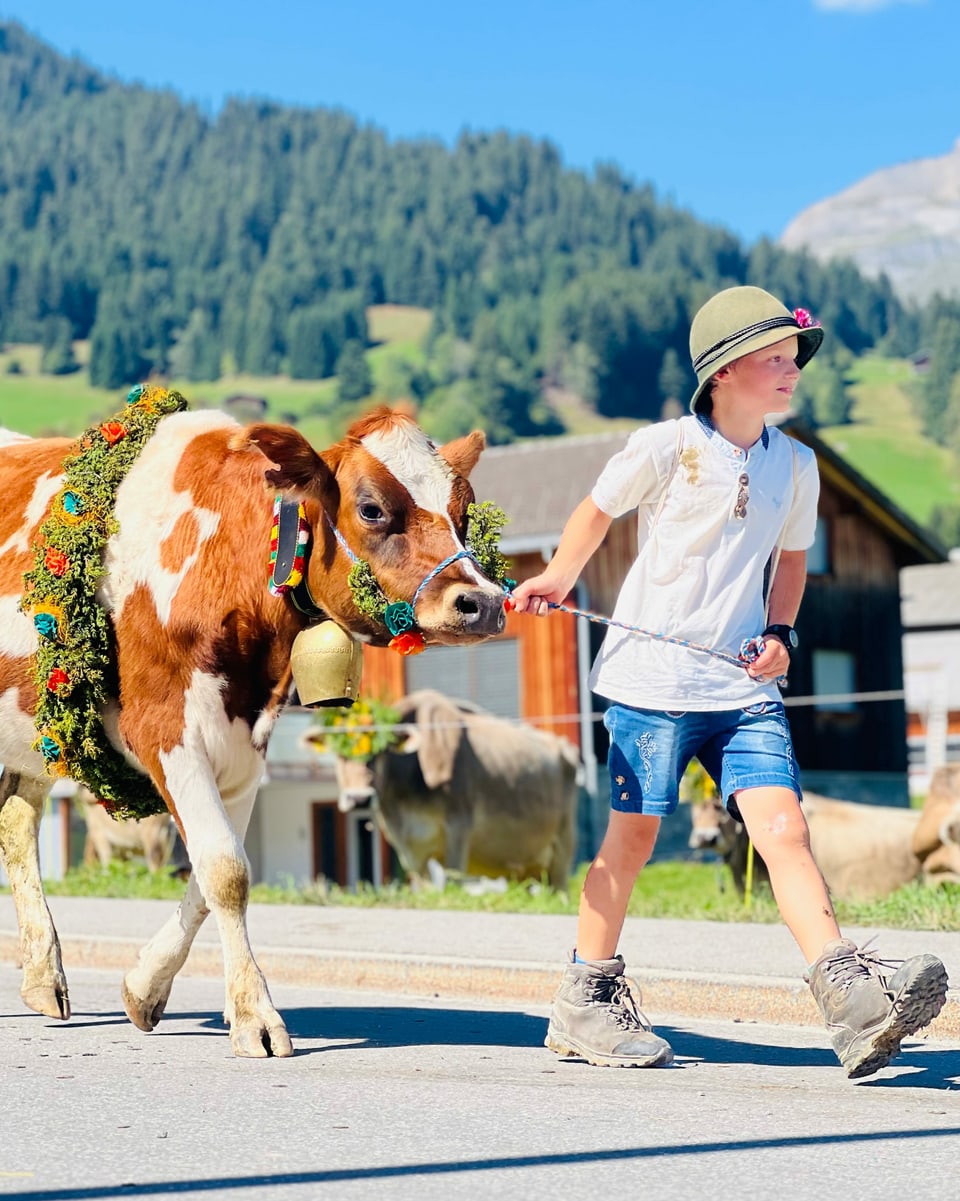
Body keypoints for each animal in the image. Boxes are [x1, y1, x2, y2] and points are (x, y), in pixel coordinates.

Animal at [0, 393, 509, 1052]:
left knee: (17, 824)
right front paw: (255, 1015)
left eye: (464, 510)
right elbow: (225, 871)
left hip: (39, 735)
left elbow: (214, 874)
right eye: (371, 508)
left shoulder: (245, 746)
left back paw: (44, 977)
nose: (483, 602)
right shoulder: (167, 730)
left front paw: (145, 987)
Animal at [303, 691, 581, 898]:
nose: (359, 798)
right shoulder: (407, 846)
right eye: (338, 754)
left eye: (380, 752)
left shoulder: (459, 826)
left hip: (563, 845)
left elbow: (453, 879)